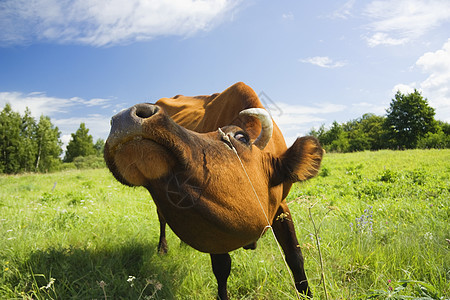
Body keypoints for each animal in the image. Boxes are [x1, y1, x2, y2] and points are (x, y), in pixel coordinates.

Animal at [103, 81, 322, 298]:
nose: (125, 117)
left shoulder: (281, 204)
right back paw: (162, 248)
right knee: (161, 218)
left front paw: (307, 293)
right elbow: (222, 268)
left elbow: (295, 255)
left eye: (241, 138)